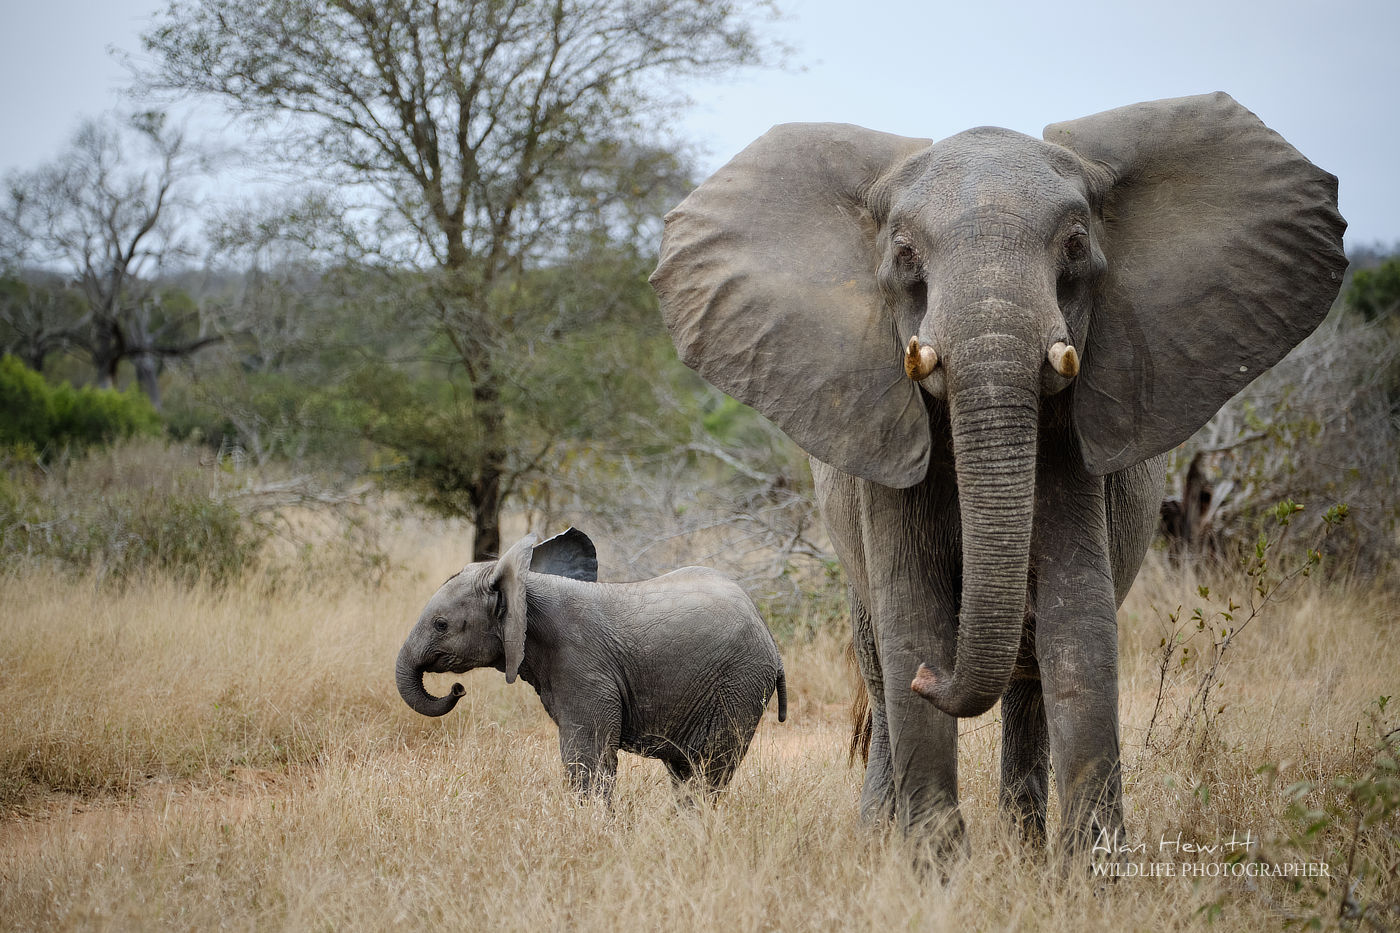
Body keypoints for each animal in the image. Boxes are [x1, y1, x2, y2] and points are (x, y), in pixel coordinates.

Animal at [394, 526, 789, 795]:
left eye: (441, 625)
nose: (457, 689)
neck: (528, 587)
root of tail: (769, 635)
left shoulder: (581, 668)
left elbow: (587, 754)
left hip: (738, 684)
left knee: (709, 768)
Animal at [646, 91, 1344, 851]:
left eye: (1075, 244)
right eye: (904, 252)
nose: (934, 677)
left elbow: (1077, 621)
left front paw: (1088, 869)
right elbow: (911, 613)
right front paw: (932, 865)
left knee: (1028, 670)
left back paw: (1023, 848)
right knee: (881, 662)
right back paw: (881, 835)